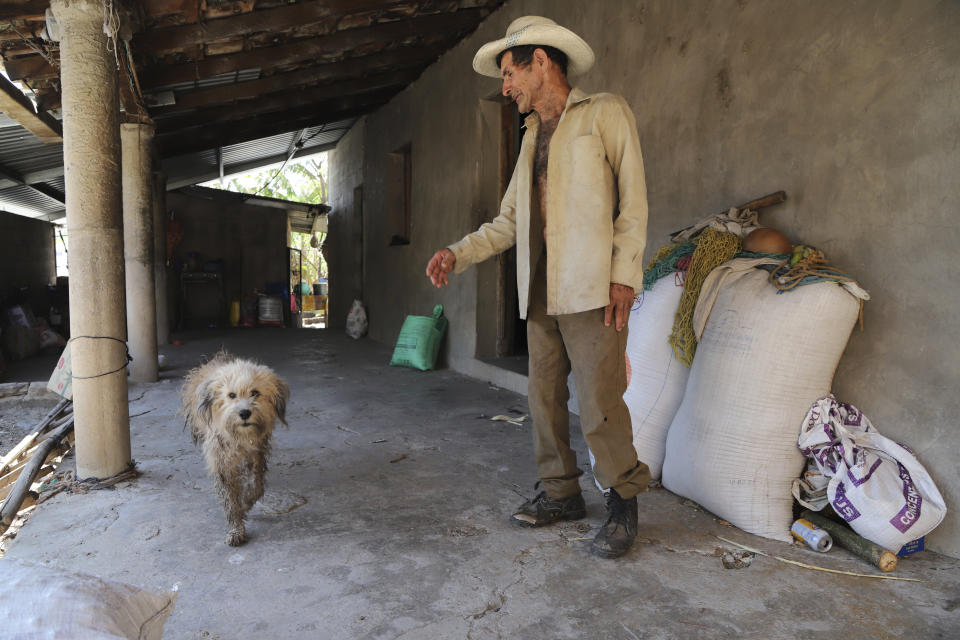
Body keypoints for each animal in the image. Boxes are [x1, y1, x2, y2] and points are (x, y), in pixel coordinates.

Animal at [181, 350, 288, 544]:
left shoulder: (257, 454)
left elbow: (256, 485)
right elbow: (230, 500)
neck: (240, 438)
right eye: (231, 395)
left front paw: (246, 503)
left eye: (255, 393)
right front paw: (236, 528)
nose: (244, 413)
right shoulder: (221, 462)